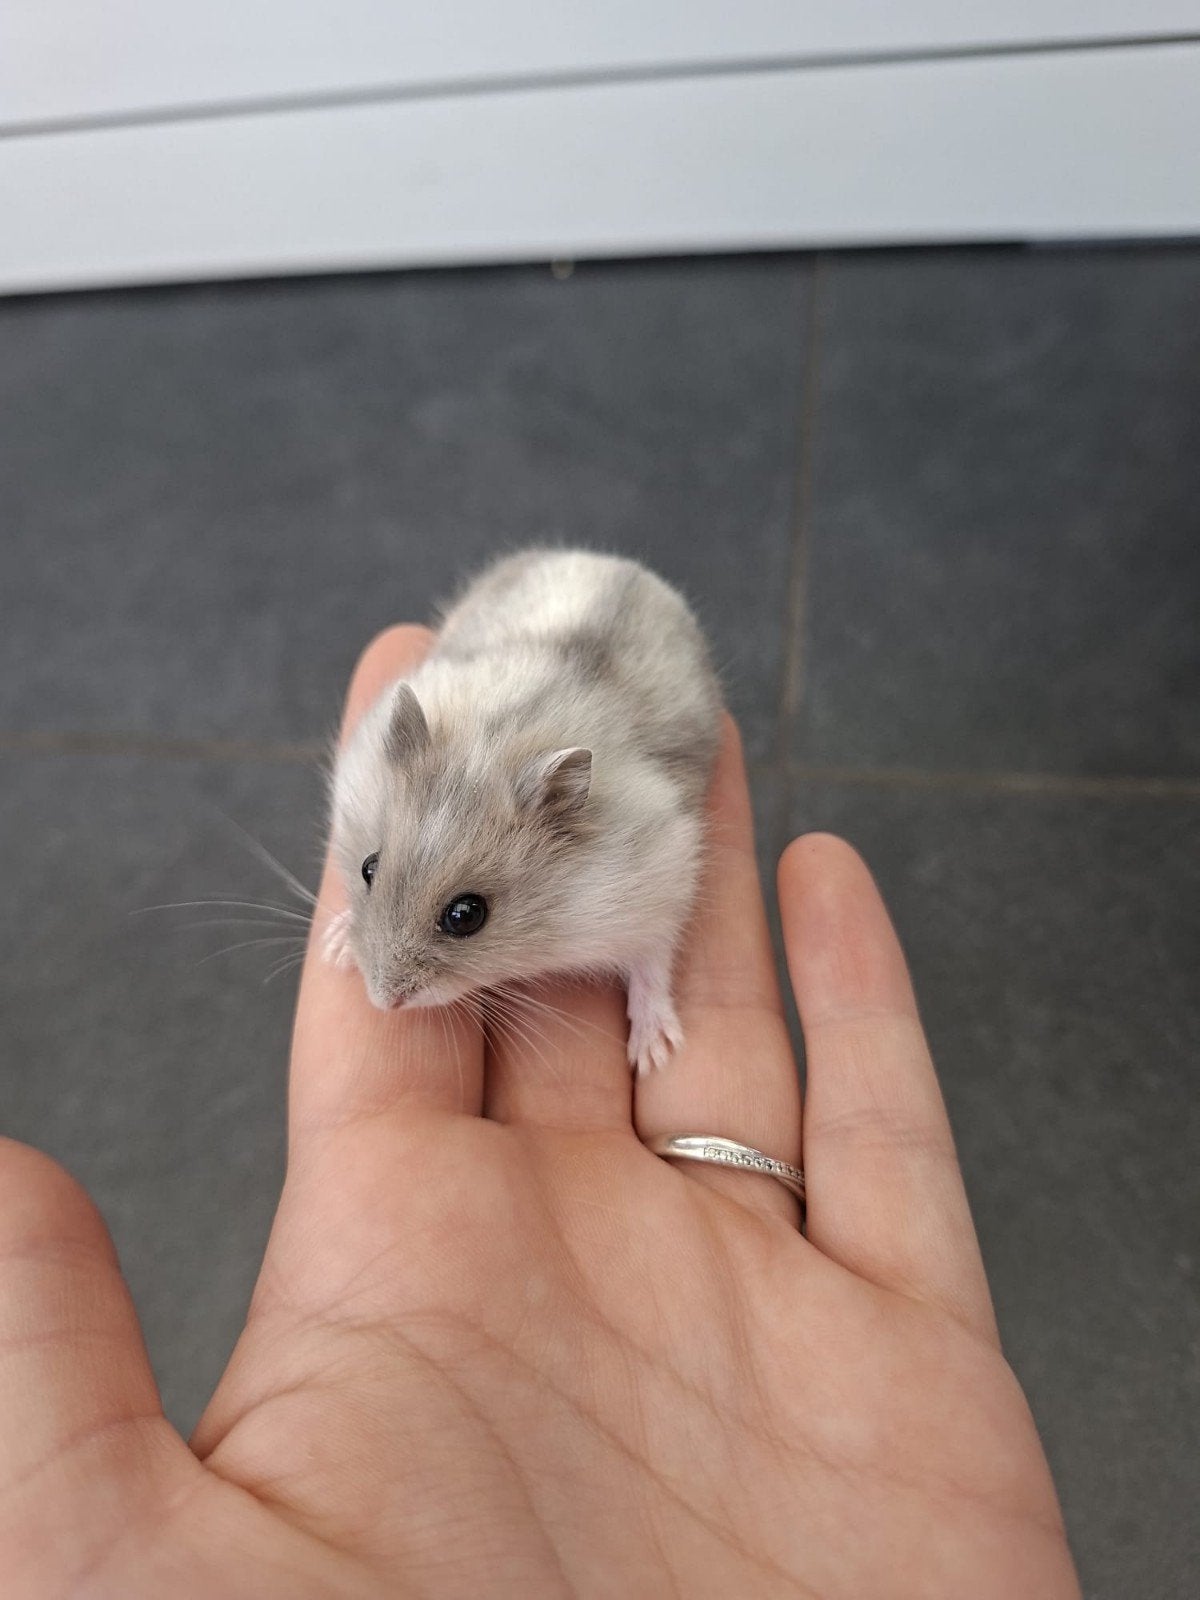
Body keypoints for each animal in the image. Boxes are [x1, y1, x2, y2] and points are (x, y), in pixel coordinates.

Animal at [323, 549, 722, 1074]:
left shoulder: (659, 891)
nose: (382, 1000)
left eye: (466, 916)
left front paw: (655, 1056)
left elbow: (651, 967)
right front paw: (334, 948)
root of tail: (613, 559)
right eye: (368, 867)